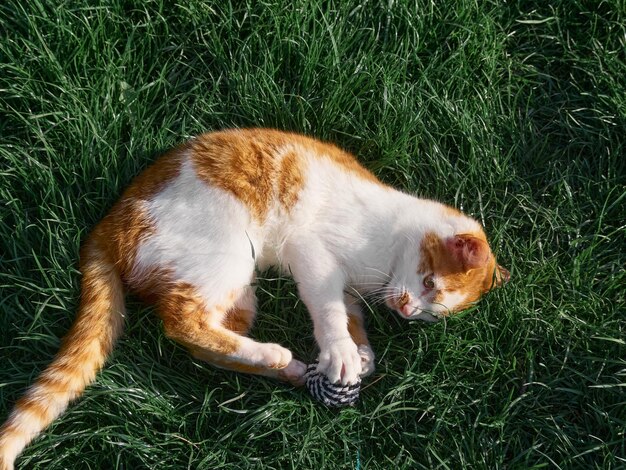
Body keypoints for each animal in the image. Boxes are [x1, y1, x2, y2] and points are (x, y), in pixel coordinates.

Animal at [0, 126, 508, 468]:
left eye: (429, 314)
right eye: (430, 283)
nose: (406, 310)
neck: (390, 240)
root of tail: (109, 224)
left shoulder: (350, 290)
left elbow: (350, 316)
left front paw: (360, 354)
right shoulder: (313, 255)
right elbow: (329, 311)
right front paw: (343, 352)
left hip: (238, 294)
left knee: (202, 339)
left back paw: (284, 365)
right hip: (226, 254)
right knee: (181, 321)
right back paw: (278, 355)